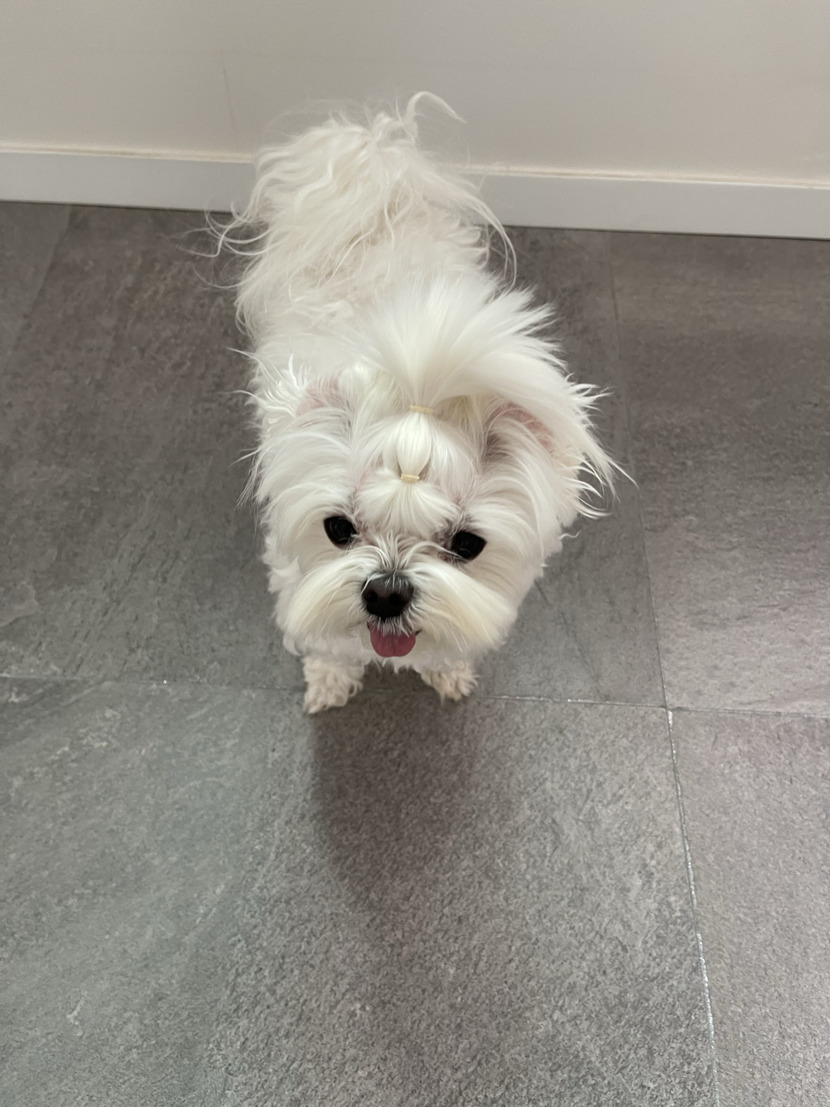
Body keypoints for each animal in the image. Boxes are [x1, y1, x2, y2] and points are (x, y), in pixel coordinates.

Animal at [223, 95, 614, 713]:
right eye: (337, 529)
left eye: (467, 544)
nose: (386, 591)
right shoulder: (294, 576)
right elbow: (325, 639)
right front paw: (329, 679)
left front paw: (448, 671)